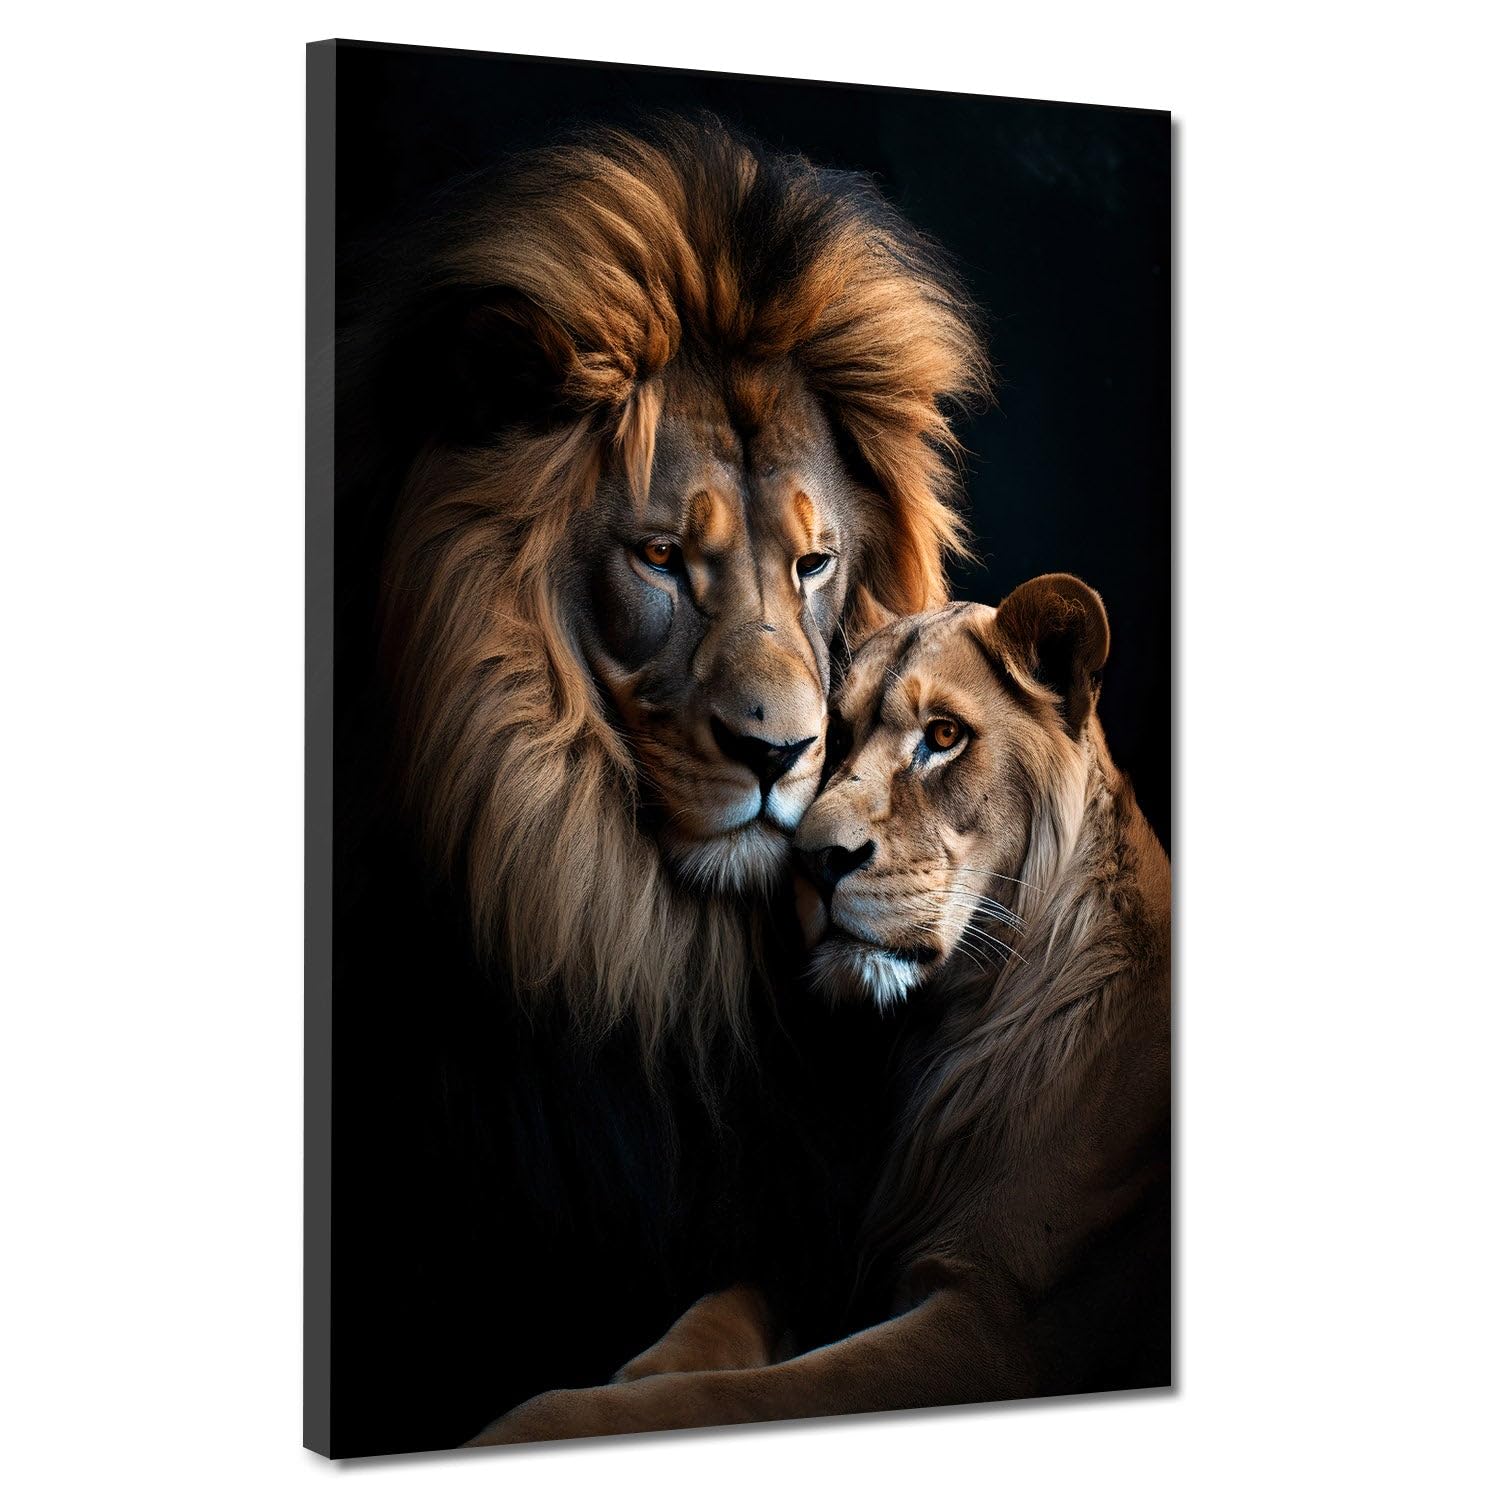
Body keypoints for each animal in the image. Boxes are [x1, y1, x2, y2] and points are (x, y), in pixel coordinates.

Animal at [467, 574, 1171, 1443]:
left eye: (943, 736)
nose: (815, 861)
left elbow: (728, 1398)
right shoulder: (832, 1252)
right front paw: (645, 1365)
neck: (943, 1033)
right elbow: (724, 1308)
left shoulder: (999, 1327)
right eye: (833, 739)